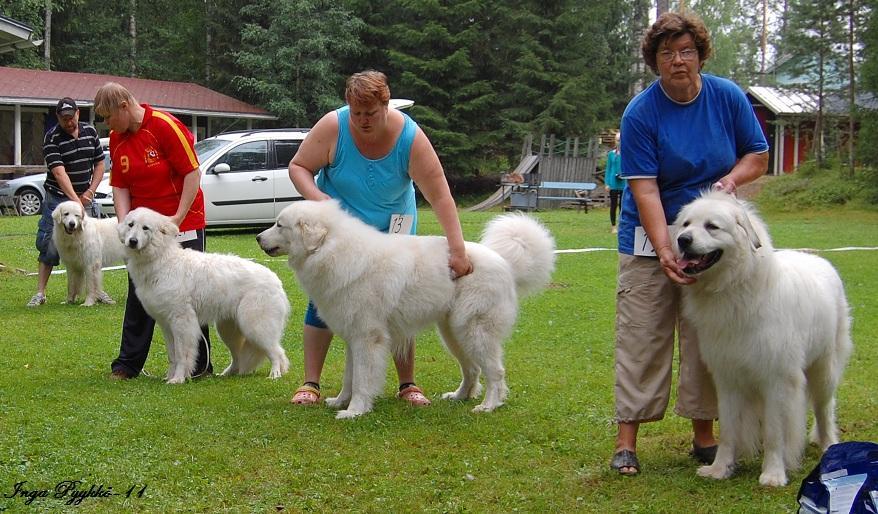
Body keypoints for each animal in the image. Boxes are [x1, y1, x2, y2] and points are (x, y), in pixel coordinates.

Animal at [118, 206, 292, 382]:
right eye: (130, 225)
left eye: (145, 228)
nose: (132, 241)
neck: (161, 259)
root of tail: (276, 280)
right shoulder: (166, 325)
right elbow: (172, 355)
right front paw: (170, 377)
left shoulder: (182, 322)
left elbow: (181, 355)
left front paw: (178, 379)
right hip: (228, 330)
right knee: (238, 357)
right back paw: (227, 374)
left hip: (255, 327)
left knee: (277, 352)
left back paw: (275, 374)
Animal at [256, 198, 556, 418]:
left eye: (280, 225)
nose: (258, 238)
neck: (335, 251)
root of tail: (504, 261)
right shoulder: (354, 338)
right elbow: (349, 377)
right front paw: (341, 401)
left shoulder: (368, 338)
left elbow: (362, 378)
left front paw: (355, 411)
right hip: (453, 334)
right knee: (472, 370)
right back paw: (458, 397)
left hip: (475, 332)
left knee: (495, 372)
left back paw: (488, 405)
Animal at [672, 190, 852, 486]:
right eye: (686, 224)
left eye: (712, 226)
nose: (682, 240)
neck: (736, 289)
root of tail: (820, 260)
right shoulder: (727, 378)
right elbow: (729, 431)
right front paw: (720, 469)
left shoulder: (777, 380)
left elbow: (774, 433)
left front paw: (773, 474)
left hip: (824, 369)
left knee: (824, 408)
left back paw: (829, 446)